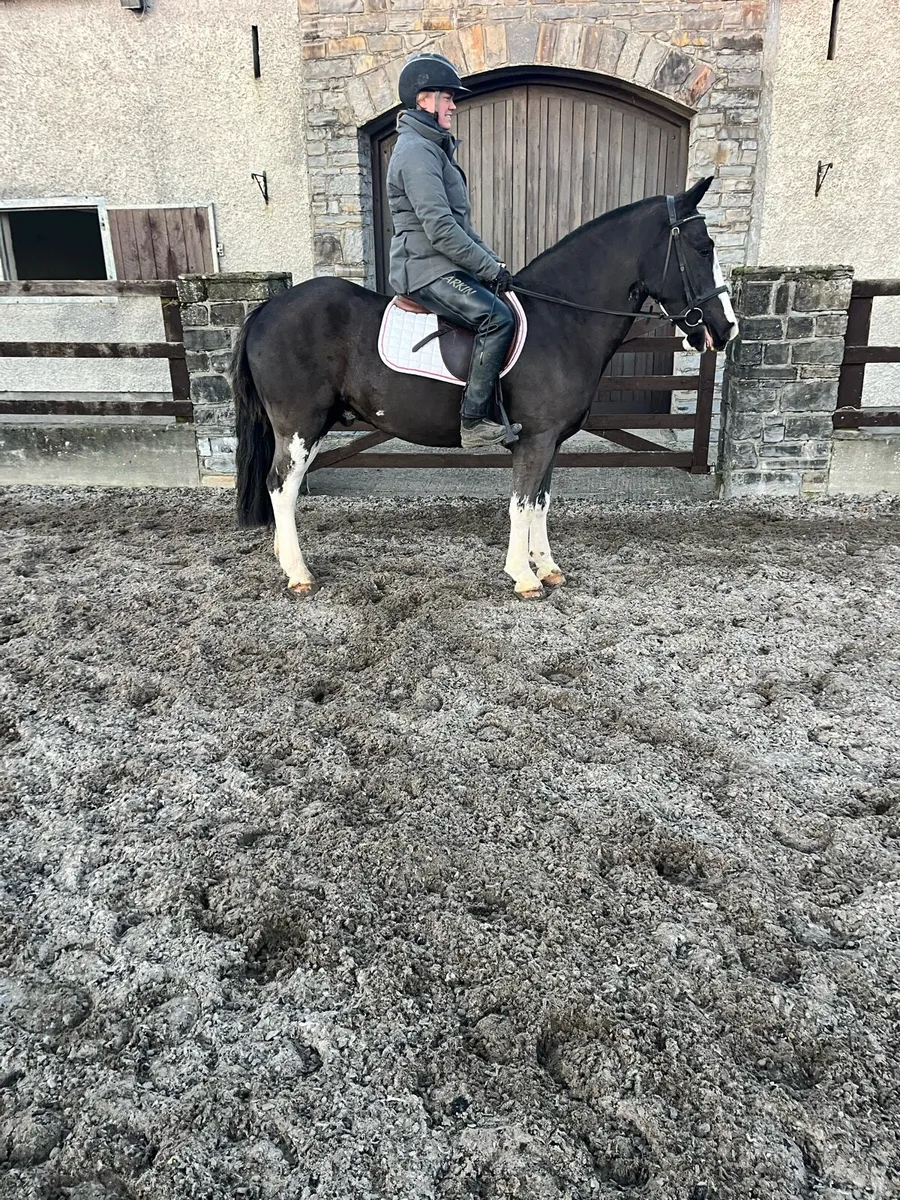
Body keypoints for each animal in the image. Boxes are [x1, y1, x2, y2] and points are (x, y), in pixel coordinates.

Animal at [231, 175, 738, 599]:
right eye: (704, 247)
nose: (726, 328)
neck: (563, 320)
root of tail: (266, 309)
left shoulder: (551, 442)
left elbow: (540, 503)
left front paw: (547, 567)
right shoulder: (535, 440)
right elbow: (520, 504)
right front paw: (524, 577)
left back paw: (284, 559)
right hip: (301, 426)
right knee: (281, 486)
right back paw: (299, 573)